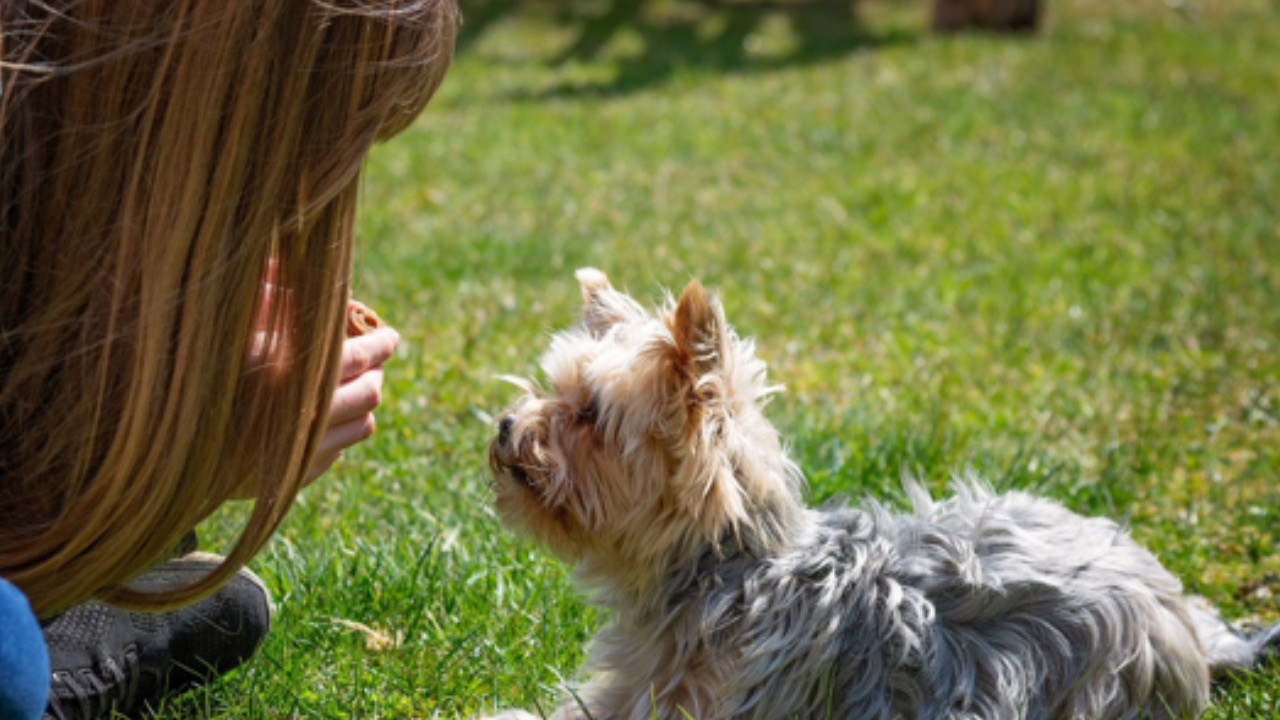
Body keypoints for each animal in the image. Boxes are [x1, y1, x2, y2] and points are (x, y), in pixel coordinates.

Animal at [483, 269, 1274, 717]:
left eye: (589, 414)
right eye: (551, 387)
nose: (504, 426)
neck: (726, 568)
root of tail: (1189, 623)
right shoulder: (628, 690)